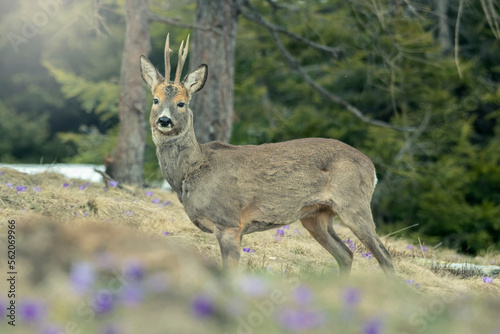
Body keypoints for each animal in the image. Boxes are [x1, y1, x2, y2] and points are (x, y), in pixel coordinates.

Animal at [140, 34, 394, 276]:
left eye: (181, 103)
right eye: (155, 100)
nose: (164, 120)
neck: (193, 169)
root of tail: (372, 167)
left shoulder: (229, 222)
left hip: (354, 203)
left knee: (384, 256)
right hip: (315, 216)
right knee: (346, 254)